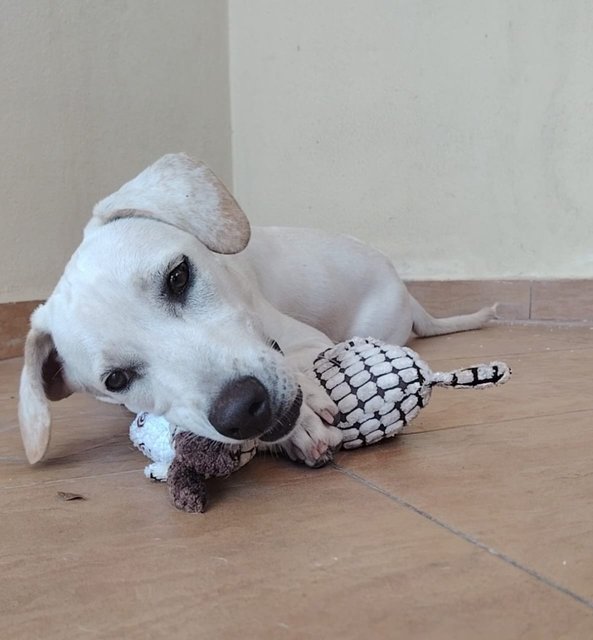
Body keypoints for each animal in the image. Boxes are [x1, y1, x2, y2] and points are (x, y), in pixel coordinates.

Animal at [17, 154, 494, 464]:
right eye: (116, 380)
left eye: (178, 276)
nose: (243, 411)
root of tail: (407, 294)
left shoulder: (307, 340)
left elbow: (304, 360)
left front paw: (305, 414)